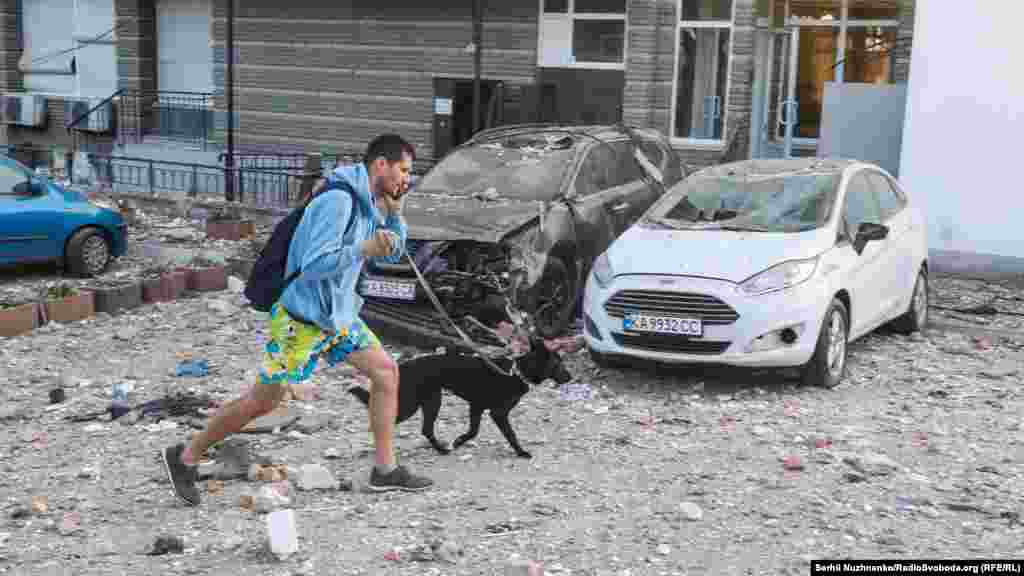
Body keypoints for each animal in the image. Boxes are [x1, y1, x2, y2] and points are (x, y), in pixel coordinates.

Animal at [350, 334, 577, 455]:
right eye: (558, 363)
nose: (571, 377)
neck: (517, 372)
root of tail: (402, 366)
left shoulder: (477, 407)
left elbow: (474, 431)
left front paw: (459, 441)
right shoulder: (497, 412)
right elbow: (510, 434)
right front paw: (521, 452)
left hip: (432, 400)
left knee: (426, 429)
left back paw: (441, 449)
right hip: (411, 404)